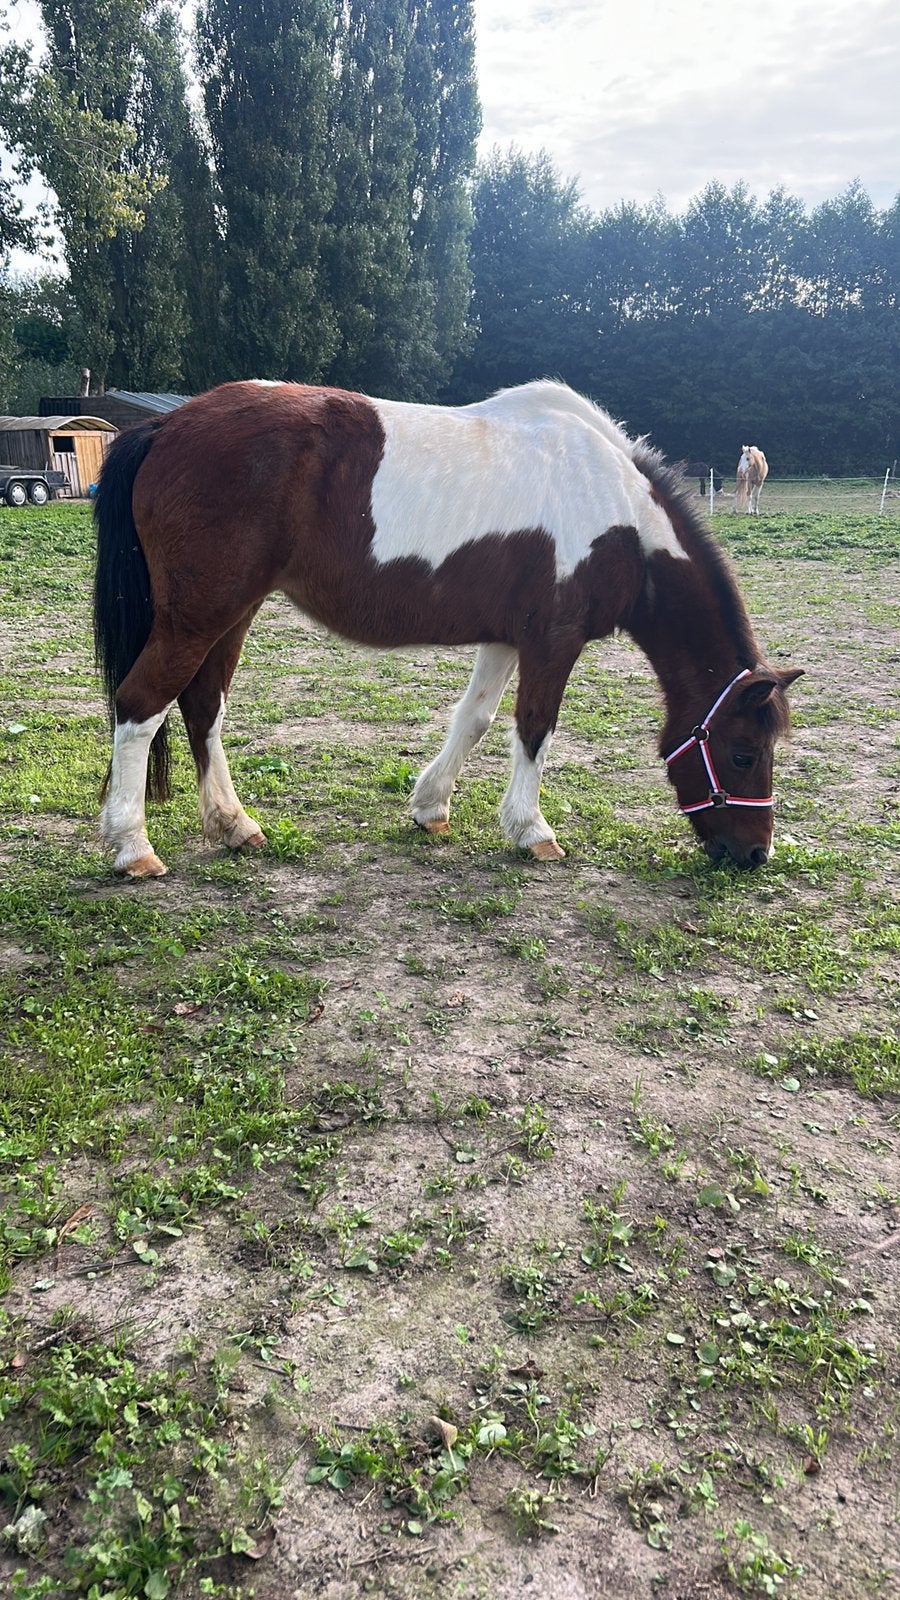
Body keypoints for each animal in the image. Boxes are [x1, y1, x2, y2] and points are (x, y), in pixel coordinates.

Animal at [92, 379, 802, 879]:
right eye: (743, 753)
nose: (755, 855)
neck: (617, 510)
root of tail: (166, 425)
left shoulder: (508, 637)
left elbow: (475, 719)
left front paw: (431, 808)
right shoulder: (554, 640)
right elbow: (535, 727)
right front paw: (532, 831)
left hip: (231, 614)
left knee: (203, 707)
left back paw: (234, 826)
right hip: (199, 616)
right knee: (141, 705)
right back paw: (133, 848)